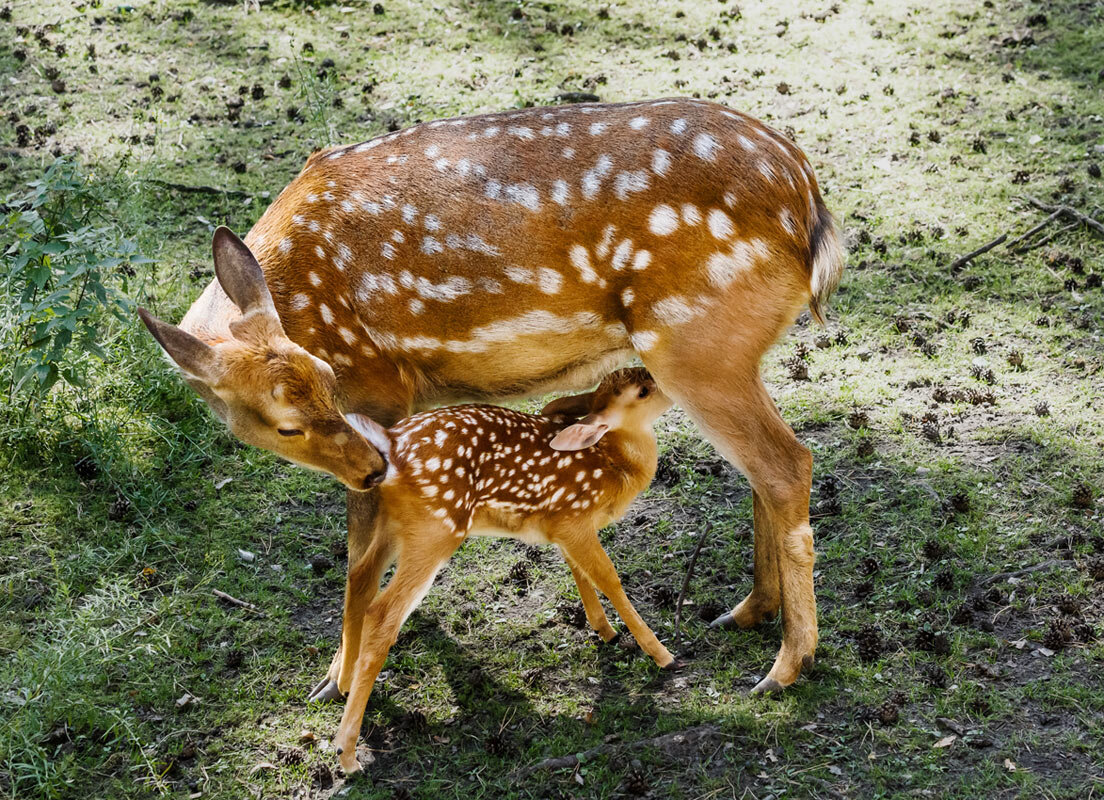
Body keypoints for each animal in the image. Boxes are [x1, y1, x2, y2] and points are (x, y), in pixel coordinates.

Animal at [140, 98, 843, 692]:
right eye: (284, 420)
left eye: (328, 378)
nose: (368, 469)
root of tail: (808, 205)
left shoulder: (379, 389)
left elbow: (359, 555)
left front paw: (334, 677)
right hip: (728, 352)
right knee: (765, 467)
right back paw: (749, 611)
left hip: (694, 341)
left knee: (786, 463)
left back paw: (786, 665)